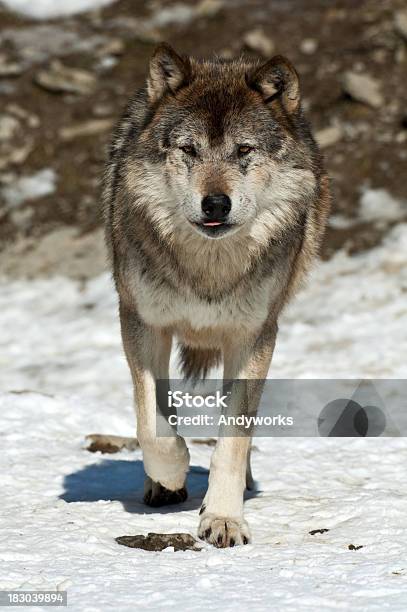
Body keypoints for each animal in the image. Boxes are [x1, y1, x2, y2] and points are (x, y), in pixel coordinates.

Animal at [102, 44, 332, 548]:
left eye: (243, 150)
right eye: (189, 149)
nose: (215, 204)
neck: (208, 271)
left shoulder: (253, 337)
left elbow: (234, 437)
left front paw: (224, 518)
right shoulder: (141, 323)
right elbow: (152, 423)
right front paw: (171, 472)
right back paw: (160, 486)